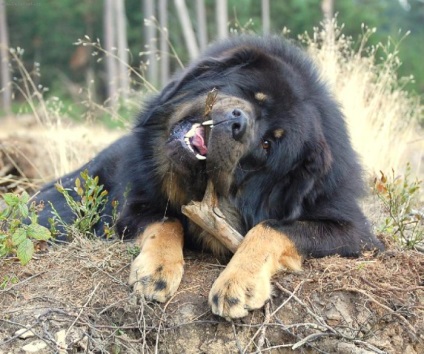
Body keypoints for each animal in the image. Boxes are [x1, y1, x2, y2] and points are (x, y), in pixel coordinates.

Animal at [34, 36, 382, 318]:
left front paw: (238, 280)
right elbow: (166, 220)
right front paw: (157, 268)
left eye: (267, 145)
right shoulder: (133, 207)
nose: (238, 124)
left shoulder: (355, 232)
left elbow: (270, 227)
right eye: (252, 95)